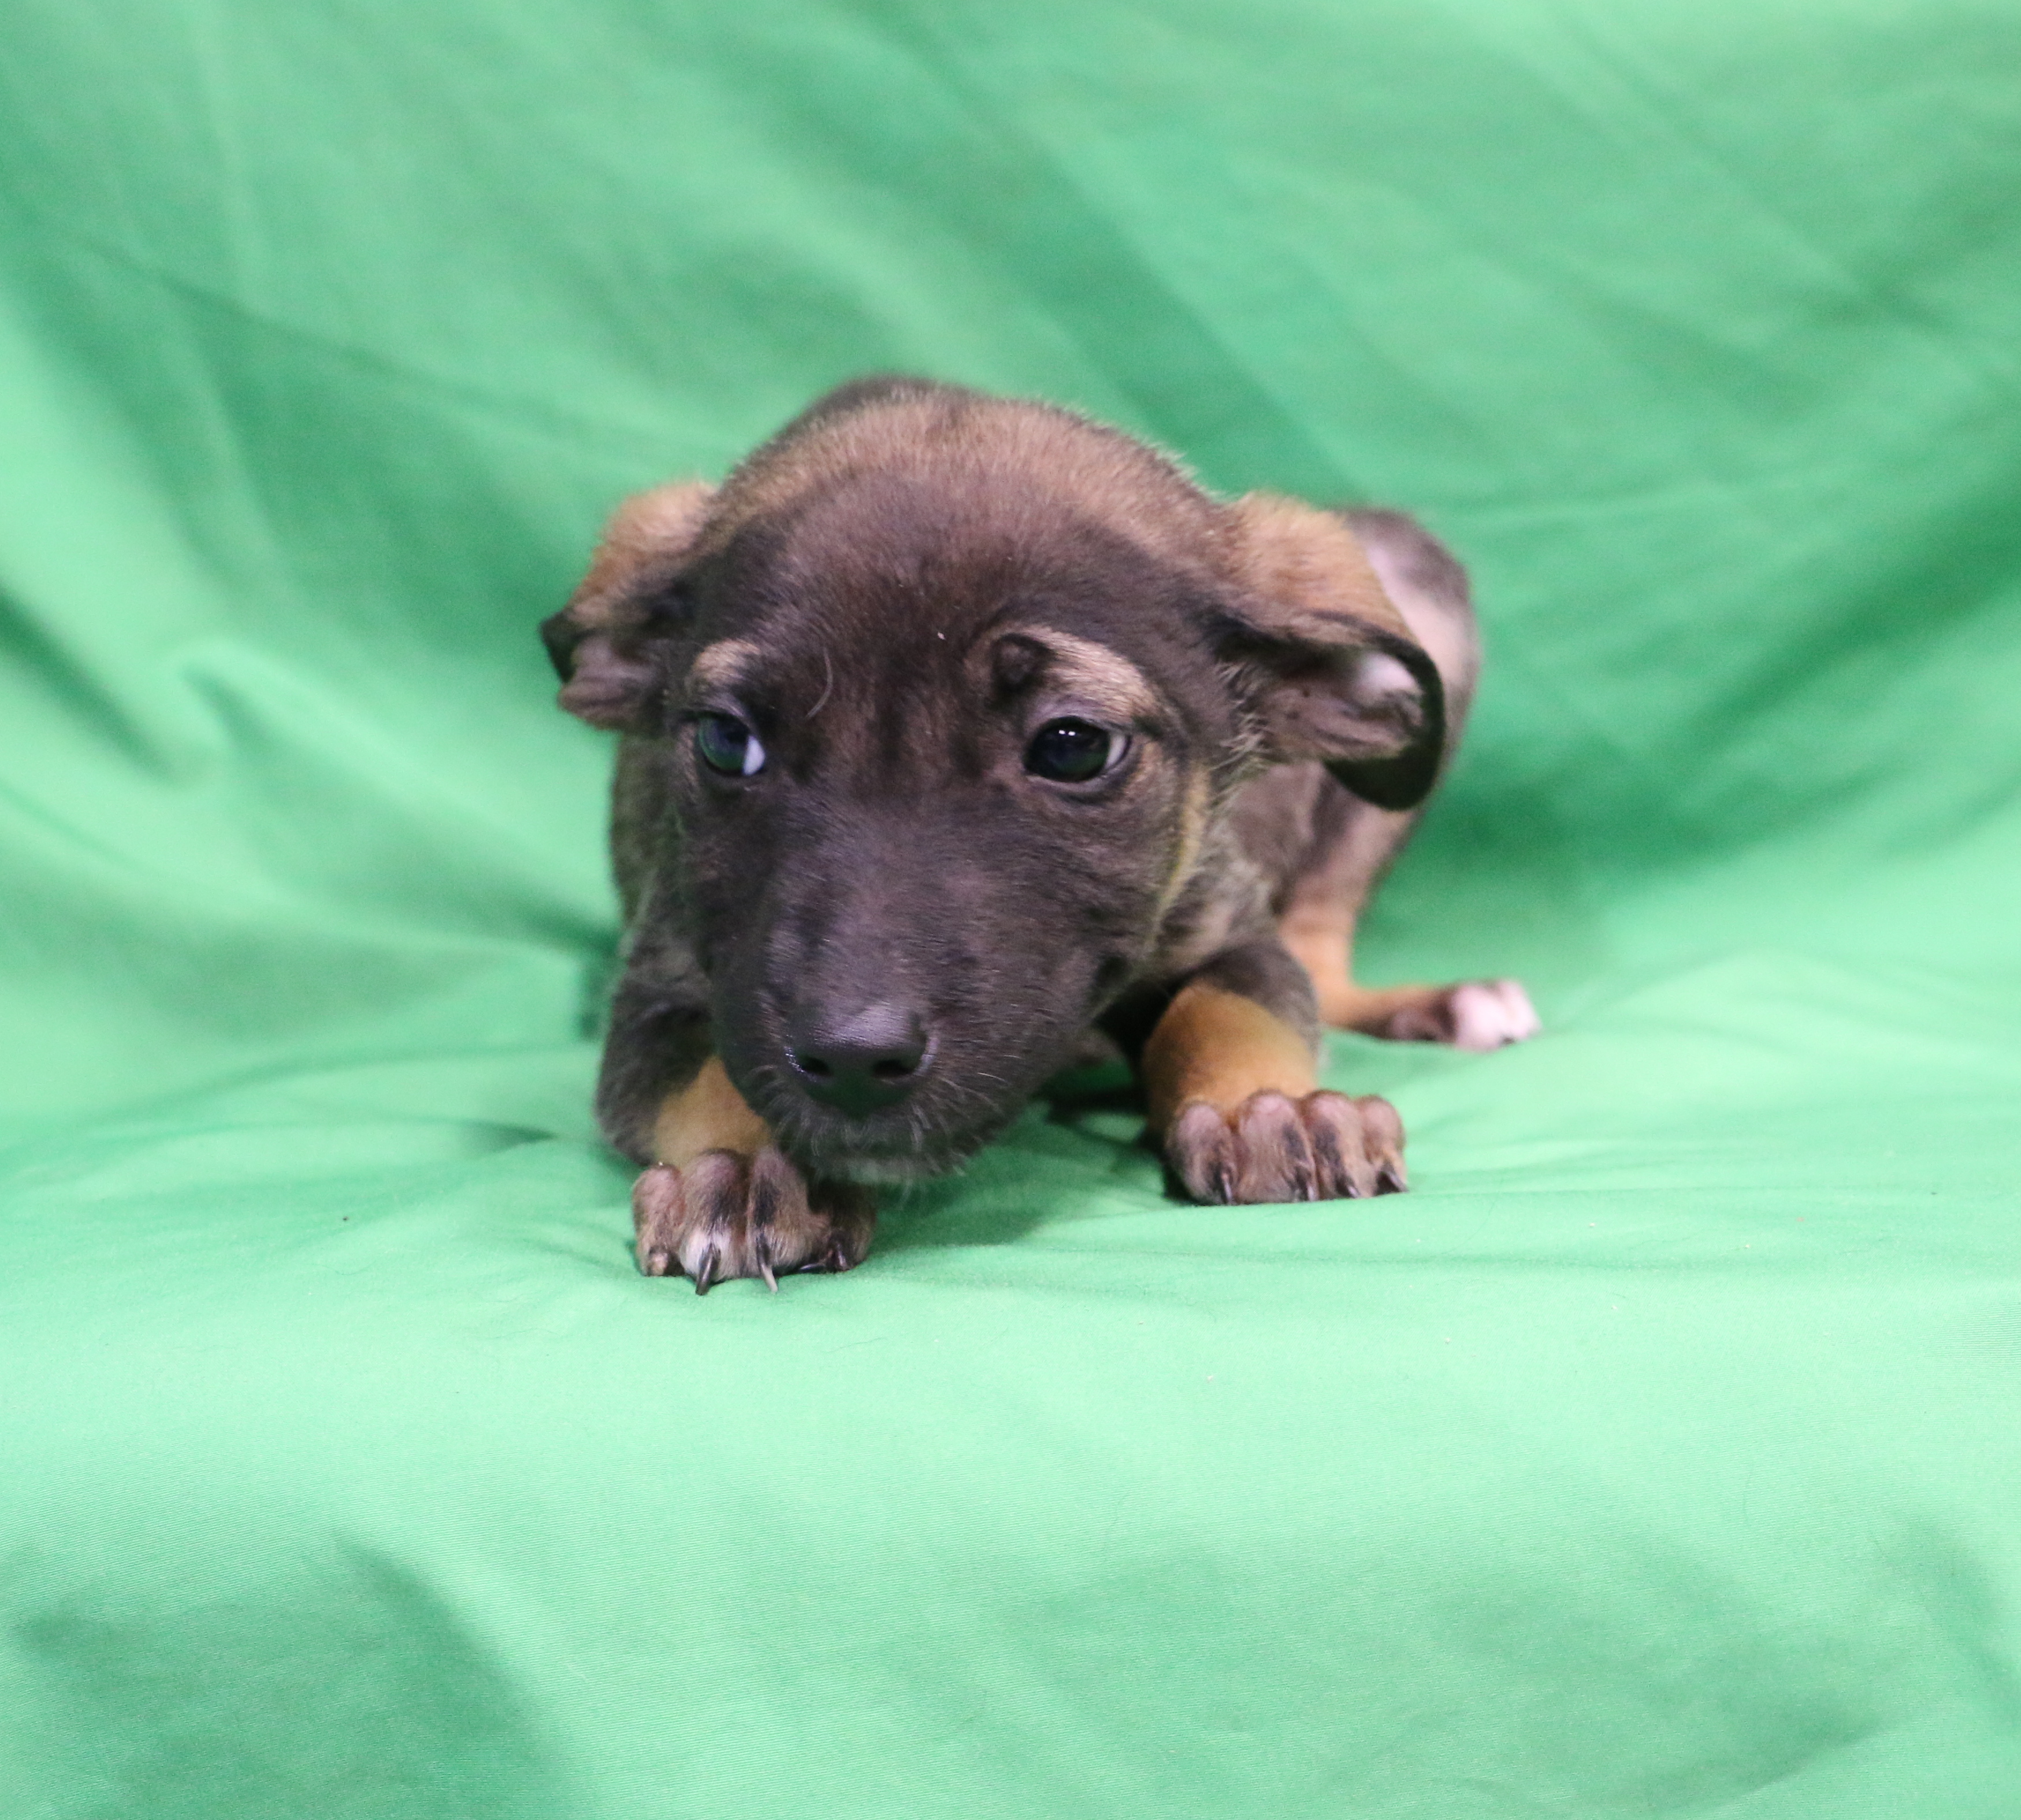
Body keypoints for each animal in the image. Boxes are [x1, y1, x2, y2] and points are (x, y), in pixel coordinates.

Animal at [537, 380, 1528, 1292]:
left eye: (1072, 745)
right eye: (723, 740)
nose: (852, 1059)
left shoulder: (1229, 922)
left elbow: (1233, 1003)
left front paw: (1269, 1103)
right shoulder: (662, 979)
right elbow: (704, 1066)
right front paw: (746, 1167)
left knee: (1320, 946)